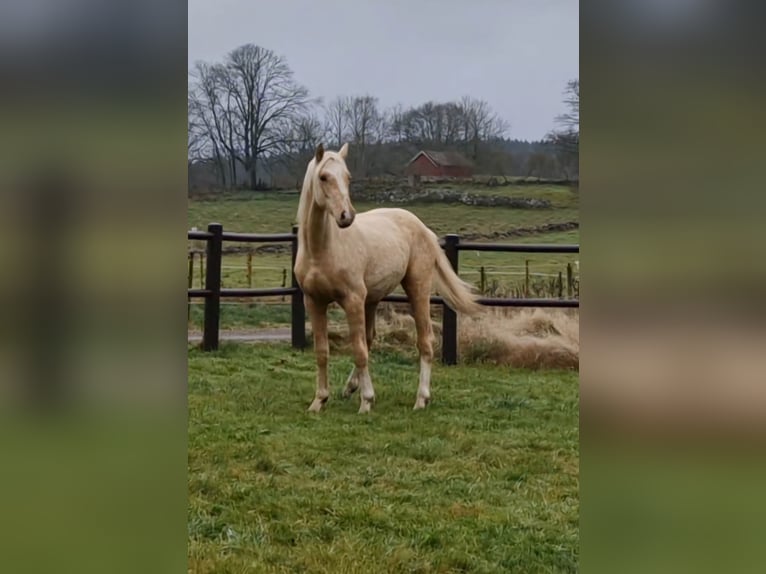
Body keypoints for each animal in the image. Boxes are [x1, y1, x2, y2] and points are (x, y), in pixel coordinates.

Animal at [294, 144, 480, 414]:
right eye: (323, 177)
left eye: (348, 177)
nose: (346, 216)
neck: (322, 250)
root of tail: (422, 227)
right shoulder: (314, 301)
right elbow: (322, 352)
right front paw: (319, 401)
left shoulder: (352, 300)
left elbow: (359, 350)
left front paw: (366, 401)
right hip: (370, 300)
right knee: (370, 339)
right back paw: (350, 388)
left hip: (417, 289)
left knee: (424, 341)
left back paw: (421, 399)